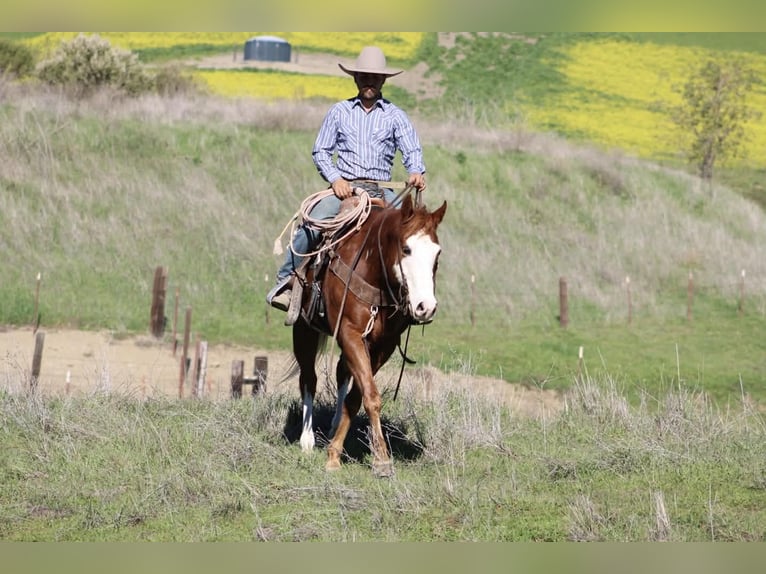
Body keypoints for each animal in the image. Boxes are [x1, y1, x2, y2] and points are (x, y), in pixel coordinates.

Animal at [290, 192, 447, 476]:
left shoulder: (383, 345)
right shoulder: (349, 332)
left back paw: (333, 425)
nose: (425, 307)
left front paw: (335, 452)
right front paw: (382, 459)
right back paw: (306, 439)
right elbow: (371, 396)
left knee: (341, 373)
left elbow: (358, 396)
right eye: (406, 249)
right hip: (303, 328)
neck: (373, 269)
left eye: (436, 253)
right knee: (309, 377)